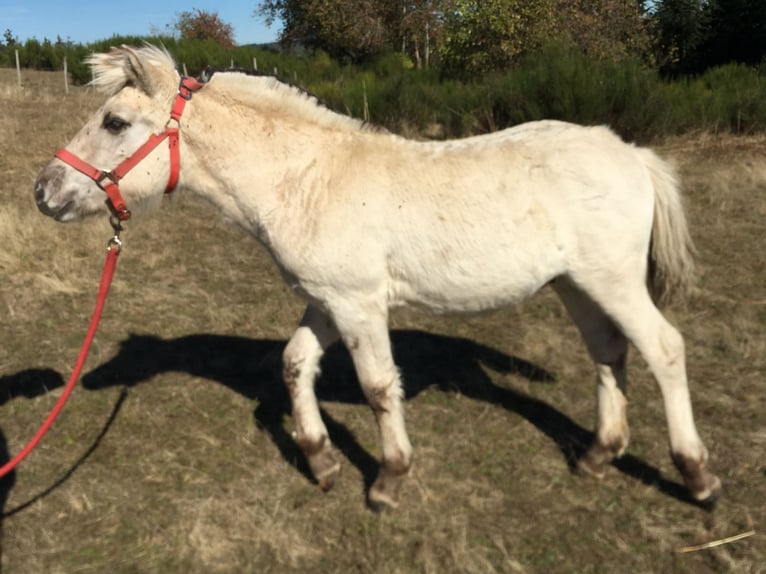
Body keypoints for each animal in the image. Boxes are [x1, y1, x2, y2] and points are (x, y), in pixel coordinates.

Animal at [33, 45, 721, 510]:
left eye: (115, 123)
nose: (44, 191)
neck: (308, 179)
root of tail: (631, 152)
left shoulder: (359, 305)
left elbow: (378, 387)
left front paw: (389, 478)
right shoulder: (327, 302)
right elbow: (295, 364)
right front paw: (320, 461)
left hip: (613, 281)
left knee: (664, 350)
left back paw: (697, 476)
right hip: (576, 285)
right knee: (609, 354)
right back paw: (600, 455)